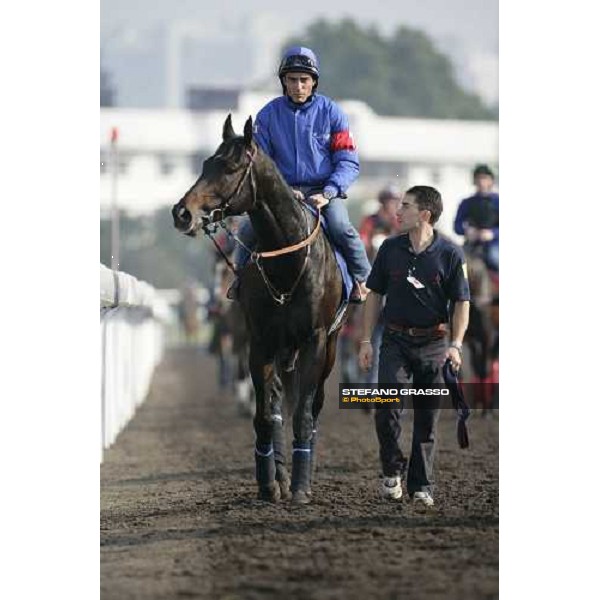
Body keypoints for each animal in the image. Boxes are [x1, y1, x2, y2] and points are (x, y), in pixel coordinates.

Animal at [171, 115, 344, 504]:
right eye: (205, 163)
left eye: (230, 167)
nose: (182, 213)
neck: (288, 264)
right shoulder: (260, 341)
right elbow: (266, 414)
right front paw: (270, 482)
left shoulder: (315, 340)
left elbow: (303, 414)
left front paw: (300, 486)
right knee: (279, 403)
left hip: (329, 349)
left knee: (313, 406)